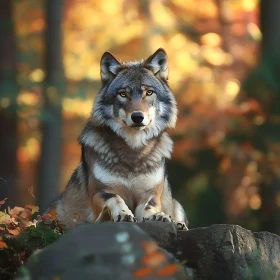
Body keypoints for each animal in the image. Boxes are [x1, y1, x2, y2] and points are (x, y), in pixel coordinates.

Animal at [47, 48, 188, 230]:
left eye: (149, 92)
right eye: (123, 94)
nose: (137, 117)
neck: (133, 152)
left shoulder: (151, 194)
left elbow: (150, 206)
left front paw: (157, 216)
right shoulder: (99, 192)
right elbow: (115, 198)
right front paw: (122, 213)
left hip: (177, 204)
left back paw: (178, 223)